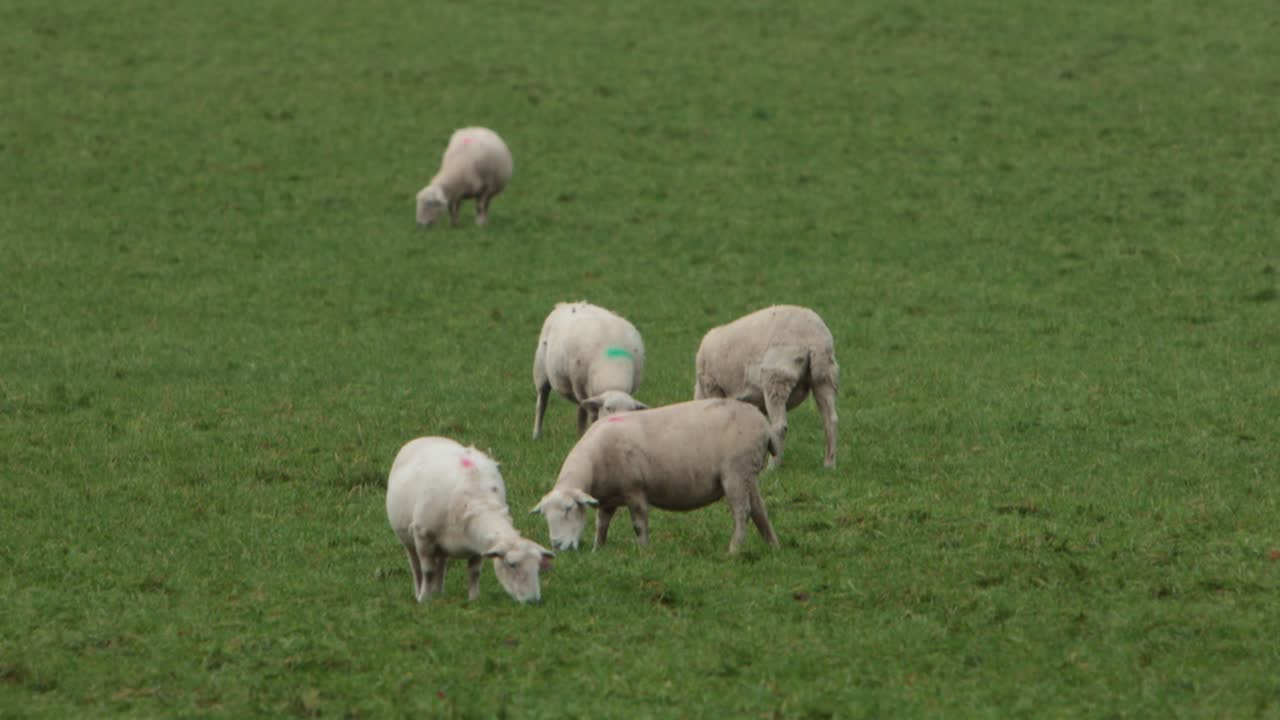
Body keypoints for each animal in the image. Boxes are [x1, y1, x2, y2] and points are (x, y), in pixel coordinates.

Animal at [386, 437, 554, 604]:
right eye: (512, 565)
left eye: (539, 566)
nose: (533, 600)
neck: (478, 500)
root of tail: (426, 437)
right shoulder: (423, 535)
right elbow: (428, 571)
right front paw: (425, 599)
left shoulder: (479, 544)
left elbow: (474, 572)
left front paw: (474, 598)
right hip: (408, 538)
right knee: (416, 566)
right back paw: (420, 592)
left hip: (441, 545)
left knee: (441, 563)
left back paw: (439, 592)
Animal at [530, 398, 780, 554]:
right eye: (544, 516)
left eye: (569, 510)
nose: (557, 546)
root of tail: (764, 425)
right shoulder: (608, 499)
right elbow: (602, 525)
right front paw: (597, 550)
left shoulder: (635, 490)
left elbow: (639, 524)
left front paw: (643, 551)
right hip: (748, 474)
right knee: (759, 511)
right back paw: (773, 546)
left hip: (735, 472)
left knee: (742, 513)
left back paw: (733, 551)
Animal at [532, 301, 648, 439]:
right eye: (608, 408)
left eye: (631, 410)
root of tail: (568, 304)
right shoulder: (580, 388)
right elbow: (592, 417)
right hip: (541, 369)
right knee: (542, 402)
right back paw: (536, 435)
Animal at [694, 305, 839, 468]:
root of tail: (814, 337)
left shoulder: (712, 387)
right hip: (826, 377)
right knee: (830, 420)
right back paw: (829, 464)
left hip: (776, 377)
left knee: (780, 426)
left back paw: (772, 467)